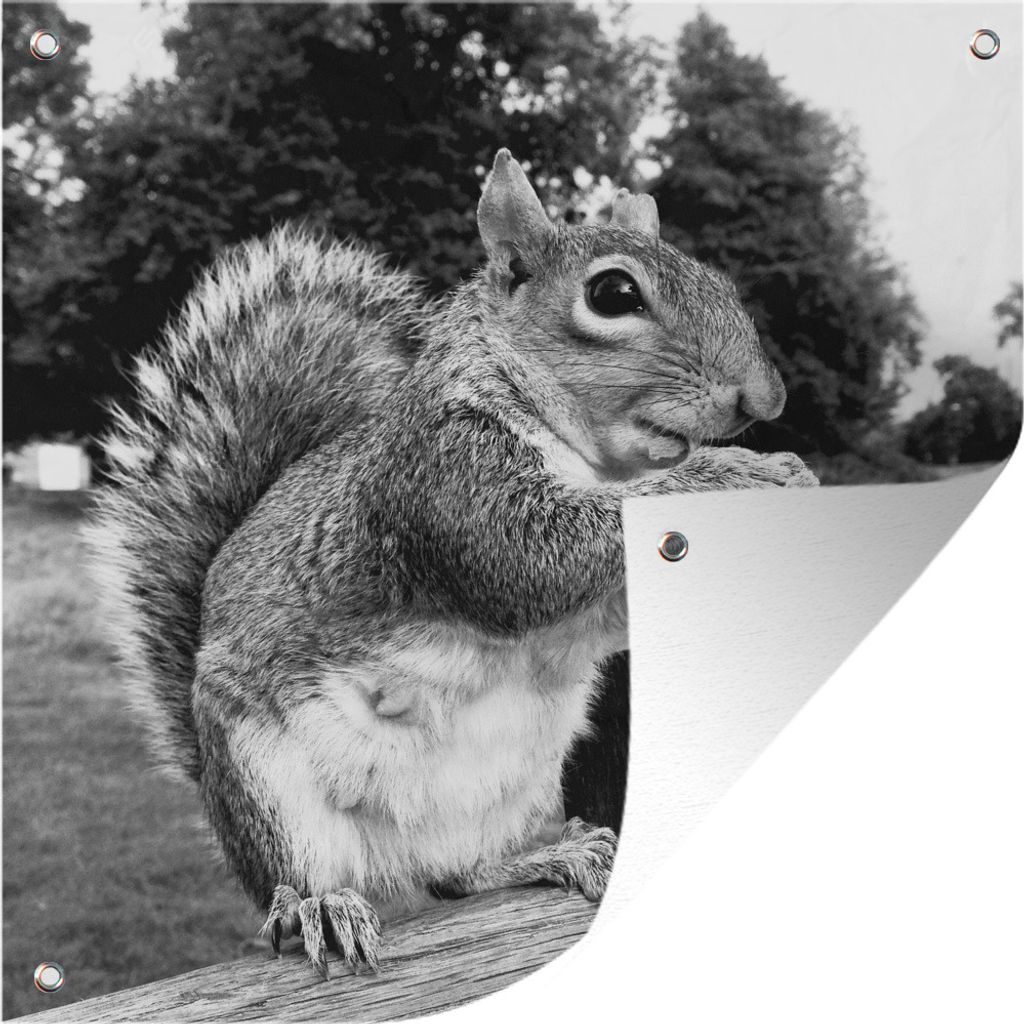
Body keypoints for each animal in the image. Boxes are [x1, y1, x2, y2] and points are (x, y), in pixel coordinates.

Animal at [91, 149, 817, 976]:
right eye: (613, 293)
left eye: (722, 282)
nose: (765, 400)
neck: (597, 459)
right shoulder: (446, 479)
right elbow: (531, 556)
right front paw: (733, 473)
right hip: (270, 789)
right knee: (299, 881)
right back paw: (318, 907)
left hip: (515, 789)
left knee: (458, 878)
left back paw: (554, 856)